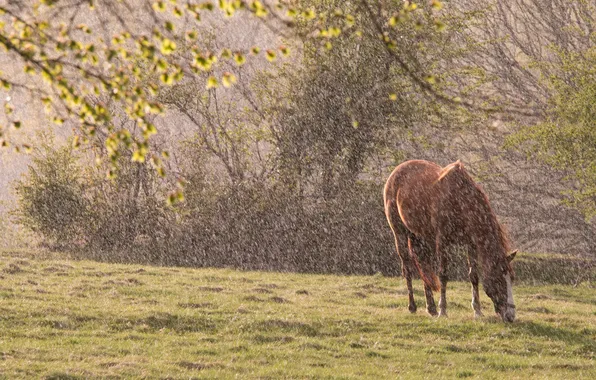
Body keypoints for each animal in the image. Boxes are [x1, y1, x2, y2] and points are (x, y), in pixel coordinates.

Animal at [382, 159, 516, 322]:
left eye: (512, 279)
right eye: (499, 279)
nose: (510, 315)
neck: (460, 200)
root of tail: (396, 172)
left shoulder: (471, 244)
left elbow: (474, 275)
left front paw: (477, 311)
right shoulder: (442, 242)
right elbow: (443, 275)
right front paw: (443, 310)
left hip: (421, 238)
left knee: (423, 266)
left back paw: (431, 308)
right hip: (400, 233)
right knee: (407, 268)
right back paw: (413, 306)